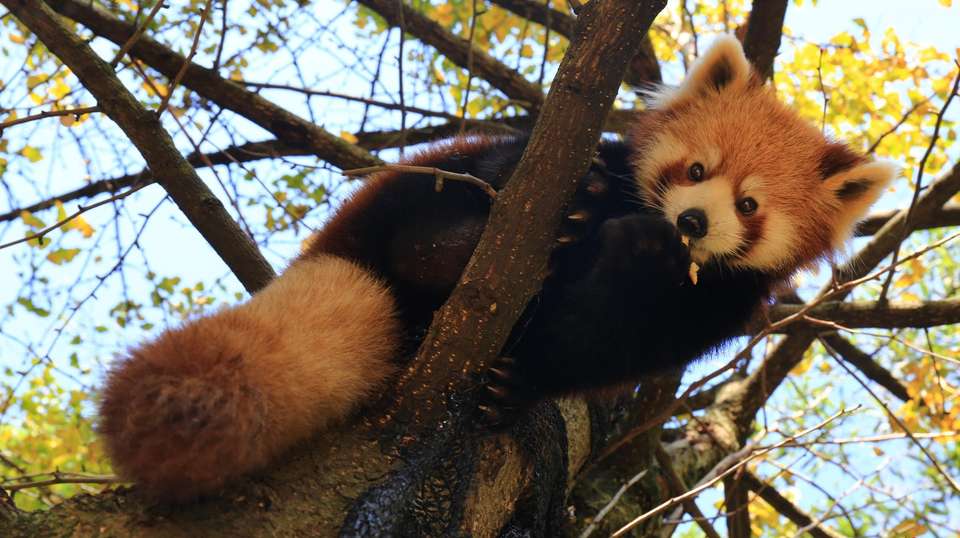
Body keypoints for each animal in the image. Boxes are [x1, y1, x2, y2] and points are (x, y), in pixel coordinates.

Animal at [98, 36, 897, 501]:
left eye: (750, 204)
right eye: (697, 169)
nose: (692, 222)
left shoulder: (706, 312)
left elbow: (602, 344)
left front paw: (521, 385)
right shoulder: (585, 159)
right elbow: (531, 172)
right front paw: (588, 209)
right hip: (407, 192)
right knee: (462, 193)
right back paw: (462, 249)